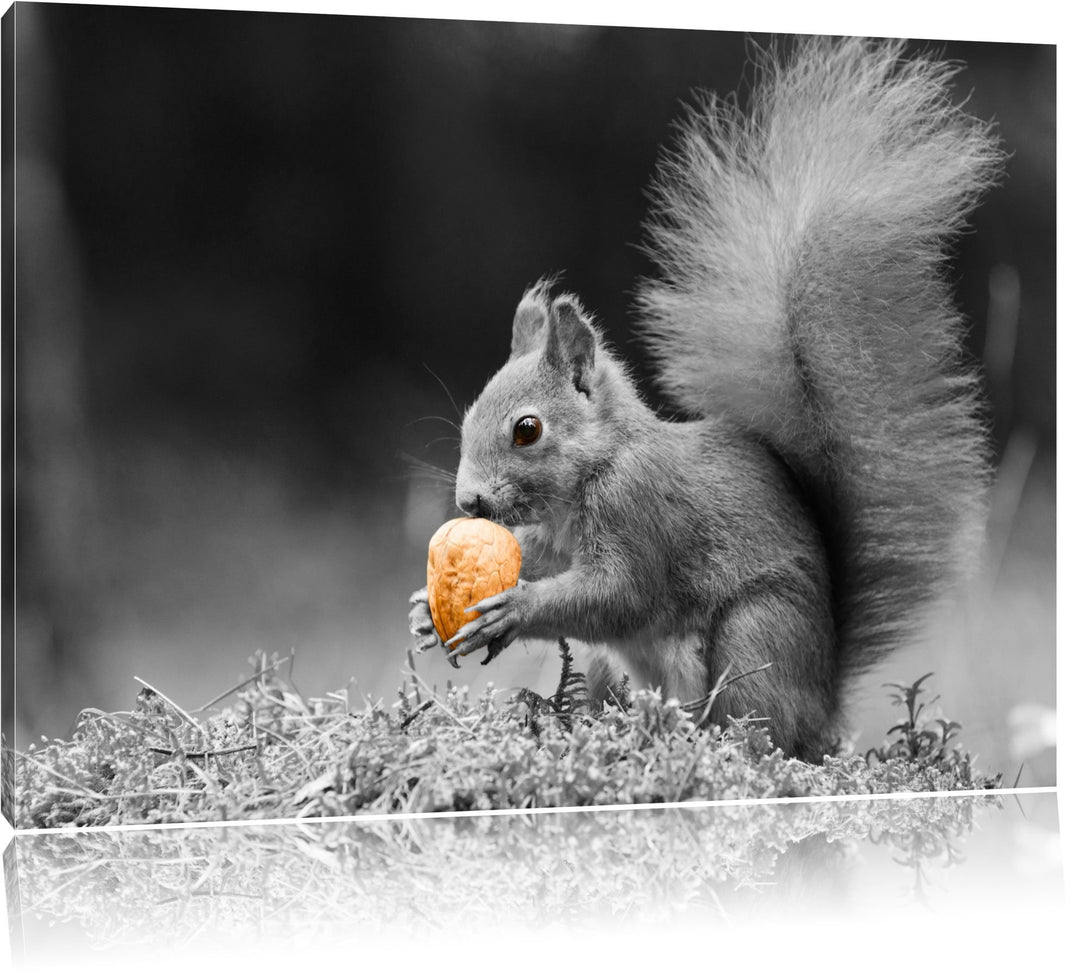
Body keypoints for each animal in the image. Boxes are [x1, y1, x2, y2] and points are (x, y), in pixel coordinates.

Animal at [408, 36, 1003, 761]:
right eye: (469, 416)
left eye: (527, 429)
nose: (468, 502)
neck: (601, 464)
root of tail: (823, 705)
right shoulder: (555, 538)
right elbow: (551, 564)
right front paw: (423, 609)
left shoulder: (637, 510)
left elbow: (620, 596)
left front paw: (514, 609)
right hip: (619, 669)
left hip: (758, 636)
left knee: (754, 726)